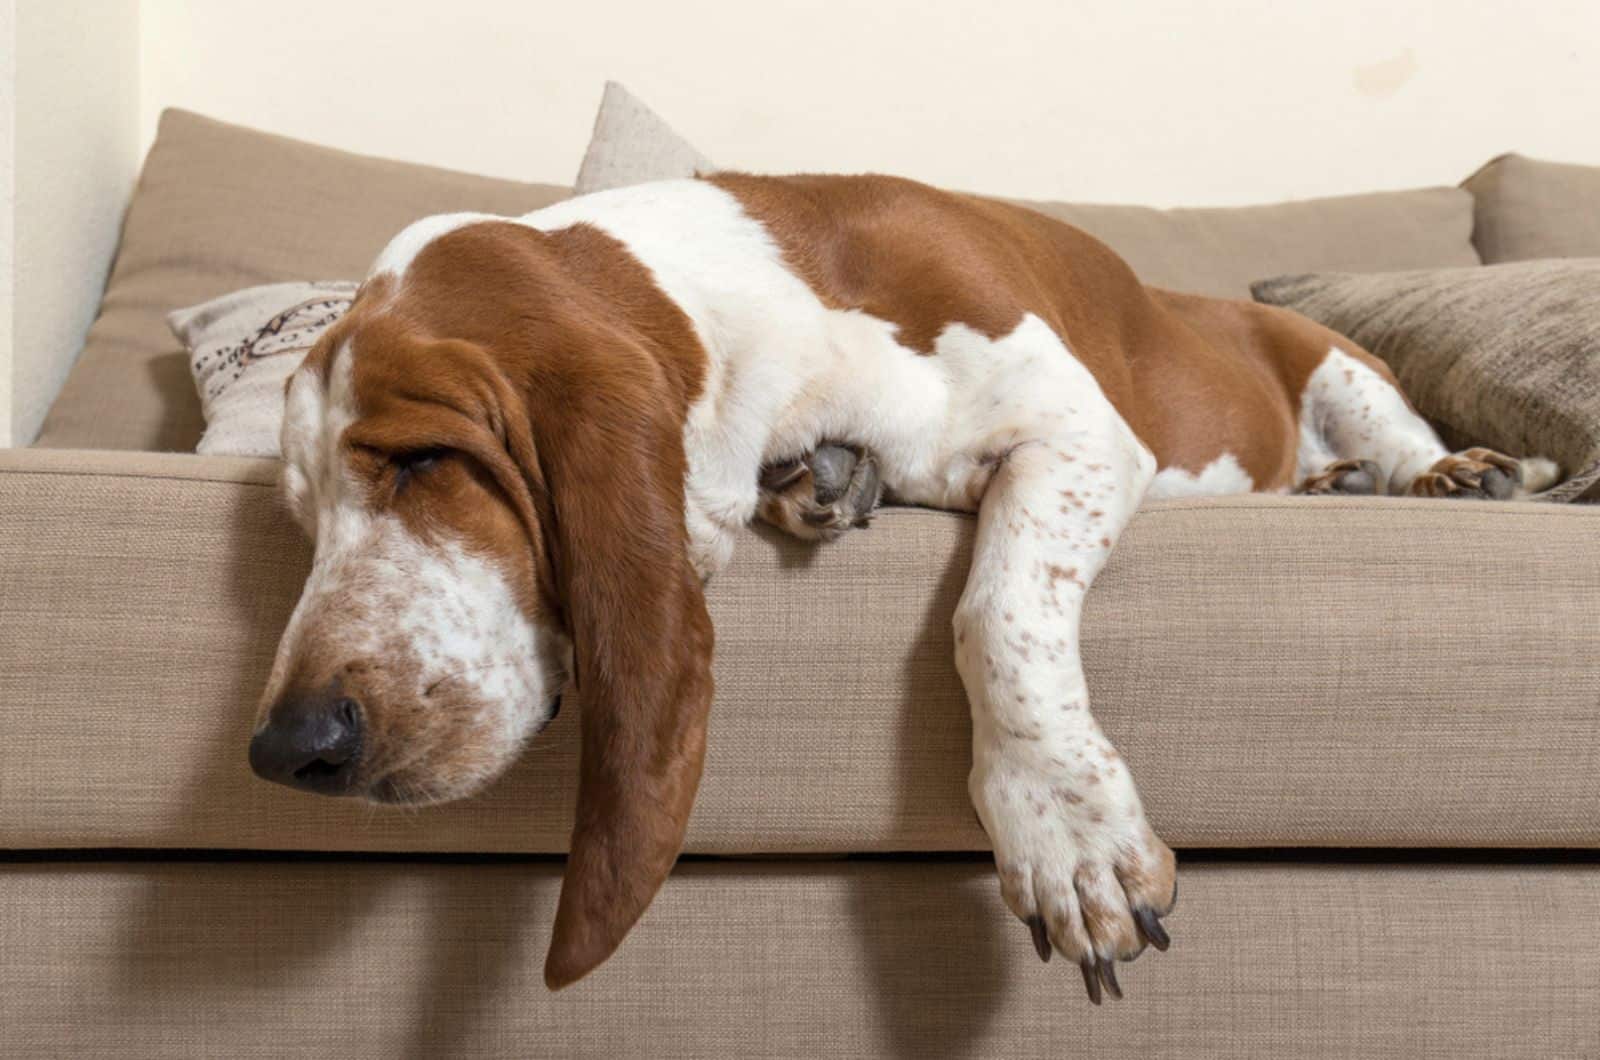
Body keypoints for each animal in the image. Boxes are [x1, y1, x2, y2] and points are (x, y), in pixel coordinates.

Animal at [246, 174, 1548, 1005]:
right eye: (302, 520)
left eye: (421, 461)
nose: (288, 748)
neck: (756, 308)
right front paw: (819, 478)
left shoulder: (1072, 435)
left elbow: (995, 609)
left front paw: (1064, 832)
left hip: (1342, 366)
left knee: (1395, 435)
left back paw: (1453, 472)